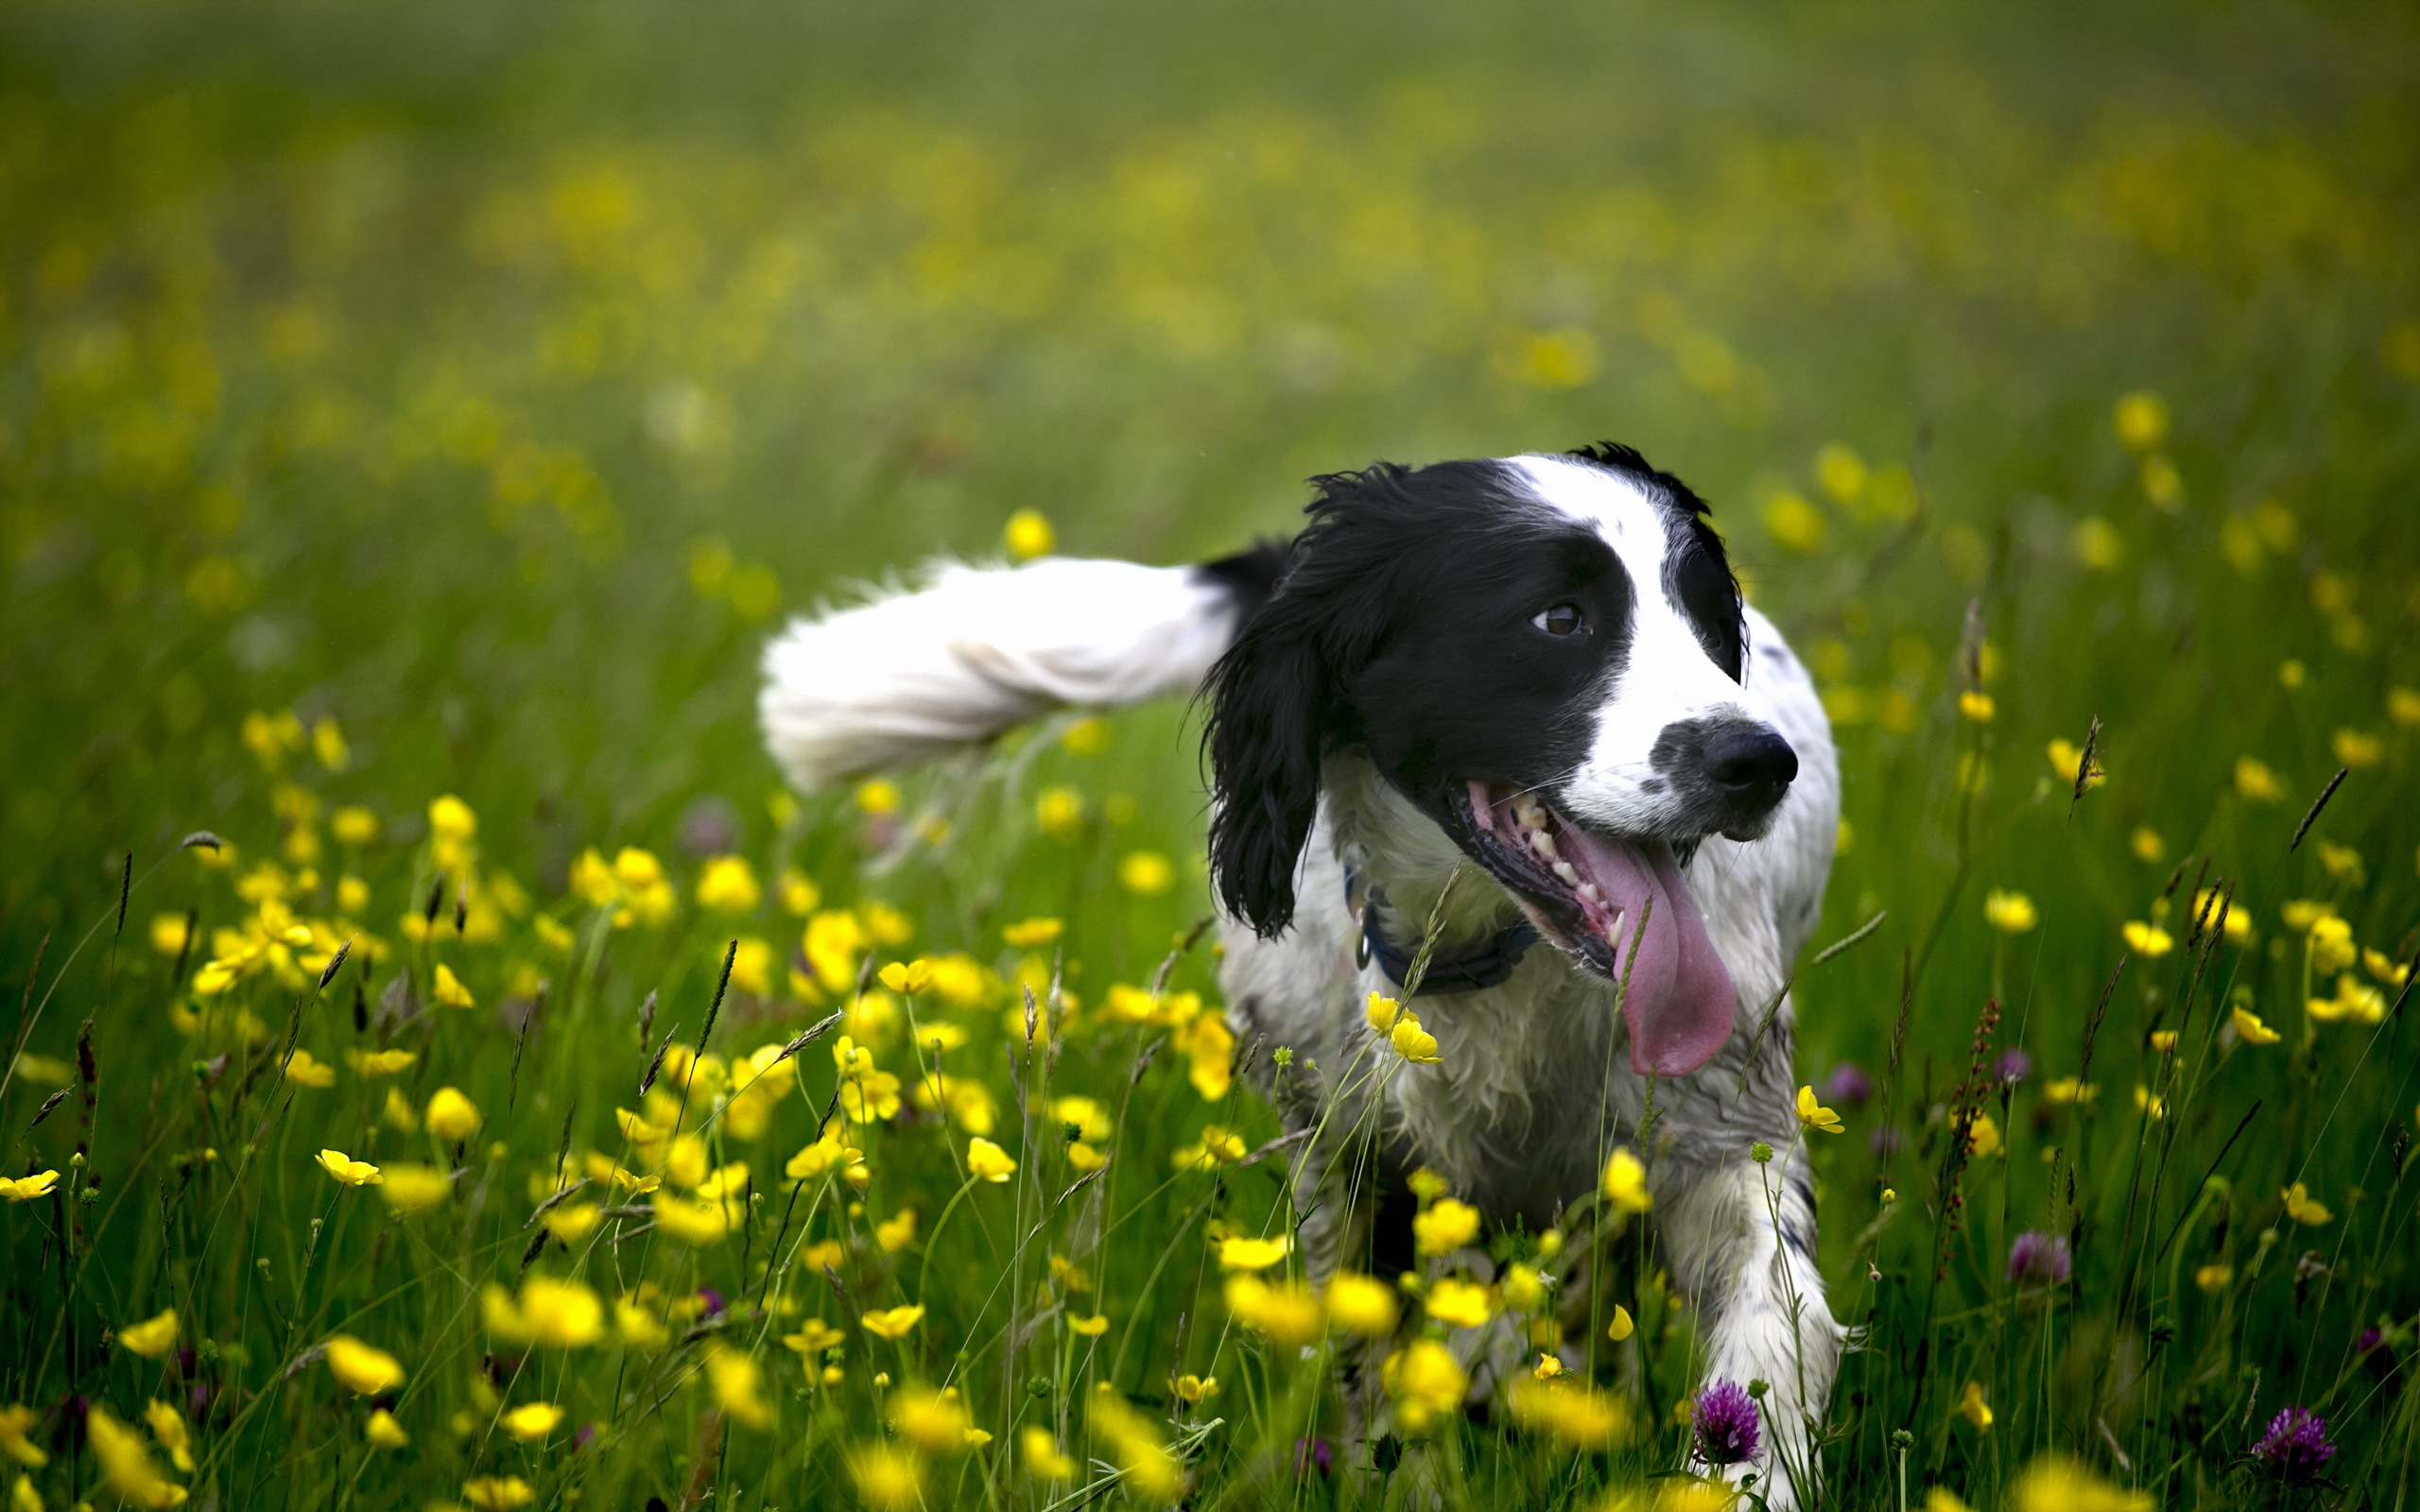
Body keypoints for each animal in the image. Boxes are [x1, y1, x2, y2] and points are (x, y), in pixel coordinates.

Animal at [764, 445, 1839, 1500]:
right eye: (1559, 618)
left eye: (1711, 623)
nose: (1757, 762)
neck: (1481, 963)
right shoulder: (1353, 1171)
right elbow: (1388, 1400)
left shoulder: (1724, 1140)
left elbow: (1763, 1353)